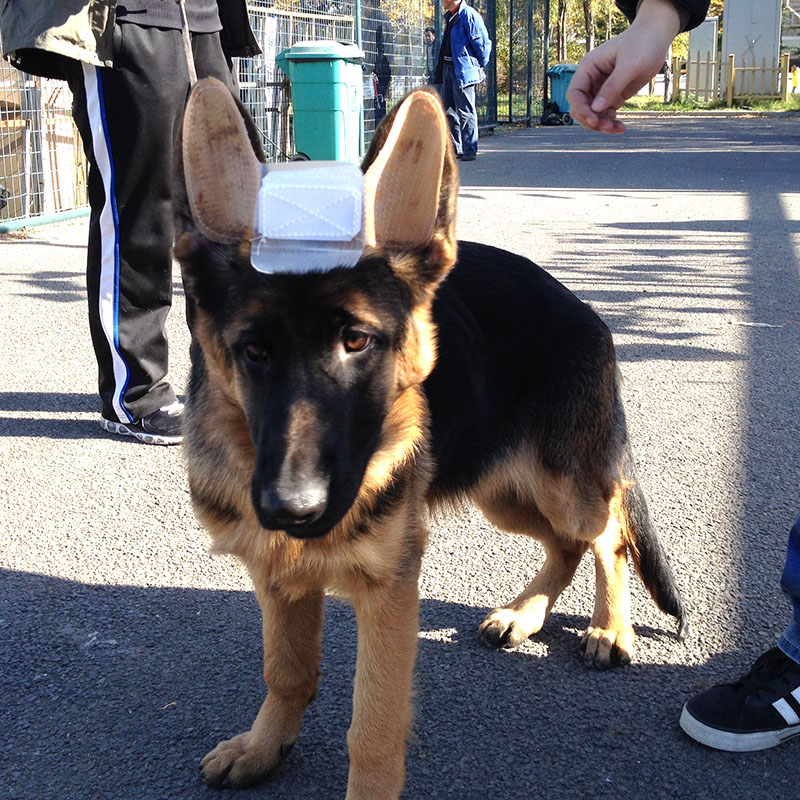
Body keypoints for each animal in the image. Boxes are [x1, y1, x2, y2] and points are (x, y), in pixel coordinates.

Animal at [177, 78, 688, 796]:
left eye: (358, 341)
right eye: (254, 351)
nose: (292, 509)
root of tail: (581, 307)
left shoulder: (390, 590)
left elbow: (372, 730)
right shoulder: (278, 574)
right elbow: (287, 670)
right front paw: (265, 744)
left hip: (564, 485)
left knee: (607, 533)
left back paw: (608, 627)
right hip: (499, 491)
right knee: (564, 544)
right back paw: (525, 613)